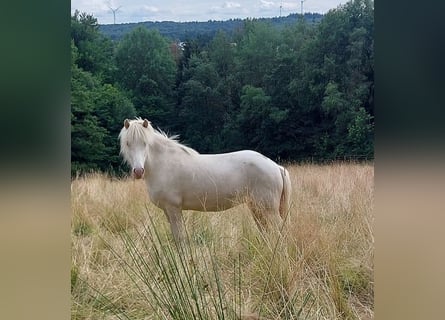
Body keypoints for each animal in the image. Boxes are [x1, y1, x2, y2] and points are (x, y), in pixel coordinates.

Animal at [118, 118, 292, 242]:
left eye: (145, 143)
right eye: (128, 143)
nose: (138, 171)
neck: (164, 164)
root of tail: (276, 166)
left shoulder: (174, 209)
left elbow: (180, 238)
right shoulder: (168, 211)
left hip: (268, 210)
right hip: (257, 208)